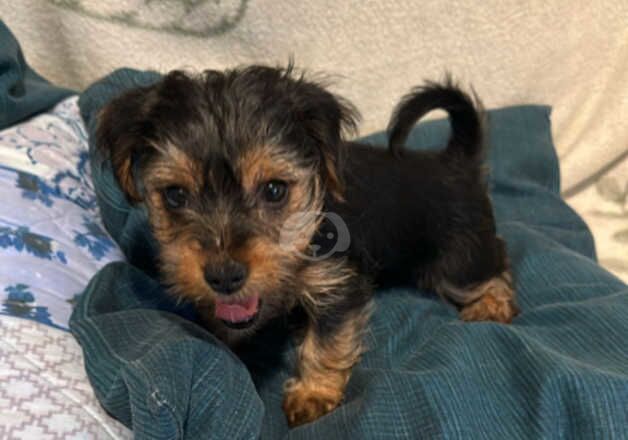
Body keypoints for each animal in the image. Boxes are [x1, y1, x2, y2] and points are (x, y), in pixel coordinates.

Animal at [97, 65, 516, 426]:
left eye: (274, 190)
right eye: (175, 196)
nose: (224, 276)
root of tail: (455, 162)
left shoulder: (338, 286)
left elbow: (326, 343)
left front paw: (313, 393)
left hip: (456, 259)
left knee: (493, 264)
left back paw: (491, 305)